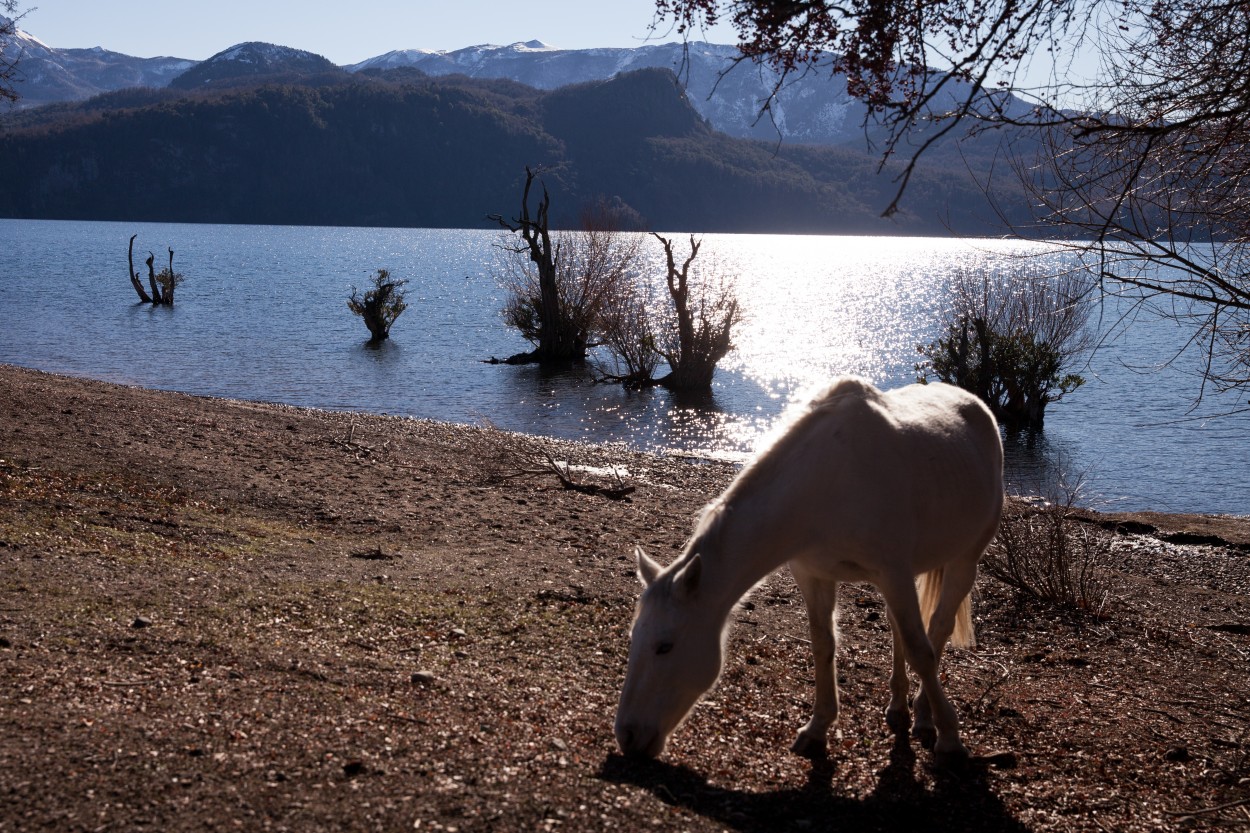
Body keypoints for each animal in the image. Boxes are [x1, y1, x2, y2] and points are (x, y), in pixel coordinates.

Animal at [615, 375, 1005, 760]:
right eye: (635, 638)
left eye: (665, 646)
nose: (627, 736)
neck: (826, 483)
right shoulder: (814, 575)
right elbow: (823, 644)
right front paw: (817, 728)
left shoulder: (892, 572)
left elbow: (921, 652)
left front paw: (951, 737)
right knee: (899, 627)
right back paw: (898, 706)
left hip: (963, 562)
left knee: (937, 628)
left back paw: (925, 717)